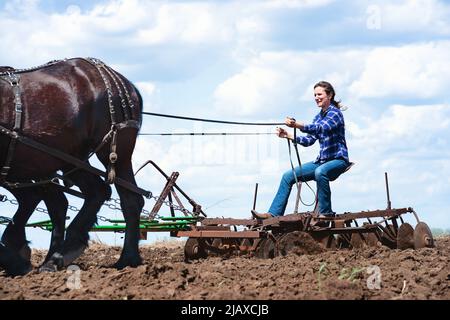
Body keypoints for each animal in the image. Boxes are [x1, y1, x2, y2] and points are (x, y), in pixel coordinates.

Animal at [0, 57, 144, 270]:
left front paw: (16, 262)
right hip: (65, 159)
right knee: (91, 193)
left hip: (114, 153)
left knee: (128, 199)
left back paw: (126, 258)